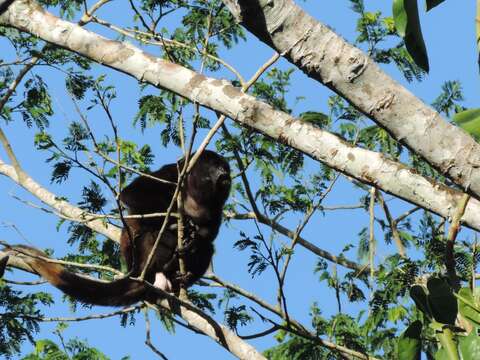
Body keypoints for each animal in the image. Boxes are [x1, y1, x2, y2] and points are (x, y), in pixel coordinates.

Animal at [6, 150, 232, 306]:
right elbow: (132, 193)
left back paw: (182, 275)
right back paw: (163, 257)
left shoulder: (217, 204)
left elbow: (209, 233)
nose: (225, 173)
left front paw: (194, 240)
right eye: (215, 165)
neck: (195, 191)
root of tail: (137, 272)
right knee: (153, 235)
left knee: (208, 248)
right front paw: (180, 222)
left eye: (225, 167)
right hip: (142, 257)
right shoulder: (173, 173)